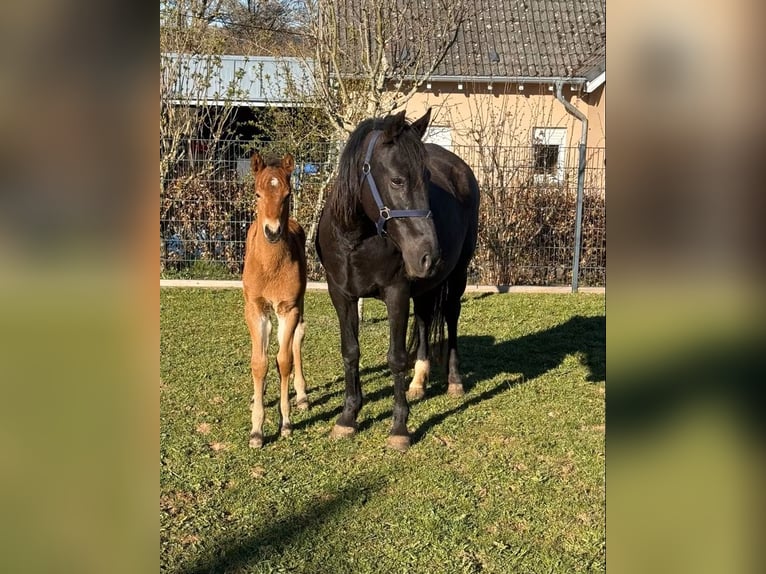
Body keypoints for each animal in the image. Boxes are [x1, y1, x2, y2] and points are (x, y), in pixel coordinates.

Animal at [316, 109, 480, 451]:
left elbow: (396, 358)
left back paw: (454, 382)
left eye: (428, 180)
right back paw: (418, 382)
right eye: (397, 180)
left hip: (456, 277)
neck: (356, 239)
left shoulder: (396, 293)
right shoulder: (342, 295)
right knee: (424, 319)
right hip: (425, 286)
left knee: (451, 317)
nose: (430, 255)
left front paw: (399, 427)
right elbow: (350, 352)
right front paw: (348, 417)